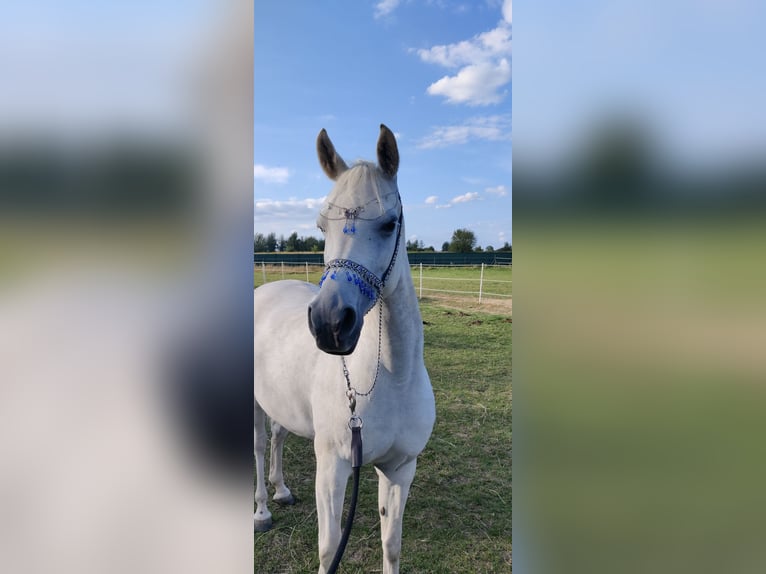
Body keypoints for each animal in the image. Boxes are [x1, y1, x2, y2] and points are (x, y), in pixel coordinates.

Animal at [254, 124, 436, 574]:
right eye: (321, 227)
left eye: (389, 224)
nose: (330, 324)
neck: (391, 376)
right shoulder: (333, 467)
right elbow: (329, 546)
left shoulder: (399, 469)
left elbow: (392, 545)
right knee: (259, 446)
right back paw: (262, 510)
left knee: (278, 437)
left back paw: (281, 490)